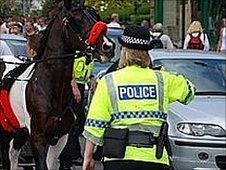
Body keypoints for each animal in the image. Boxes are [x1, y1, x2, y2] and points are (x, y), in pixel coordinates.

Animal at [0, 0, 115, 170]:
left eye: (97, 16)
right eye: (77, 19)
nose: (108, 46)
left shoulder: (60, 137)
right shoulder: (38, 137)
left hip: (18, 130)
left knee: (13, 154)